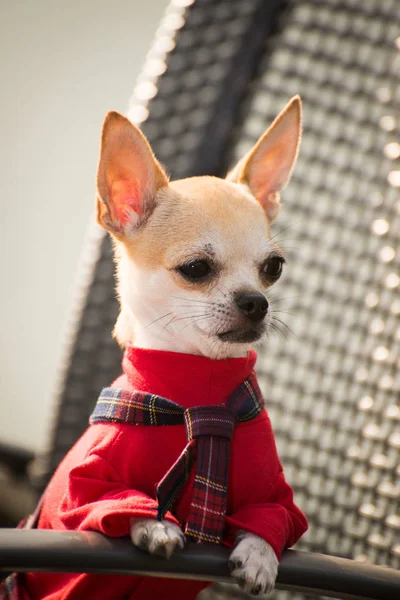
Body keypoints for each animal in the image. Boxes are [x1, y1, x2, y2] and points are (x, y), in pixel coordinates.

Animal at [19, 96, 306, 596]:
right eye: (195, 268)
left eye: (274, 267)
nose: (257, 301)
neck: (197, 389)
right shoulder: (85, 488)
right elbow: (117, 502)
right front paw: (155, 523)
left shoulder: (274, 494)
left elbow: (268, 519)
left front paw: (258, 555)